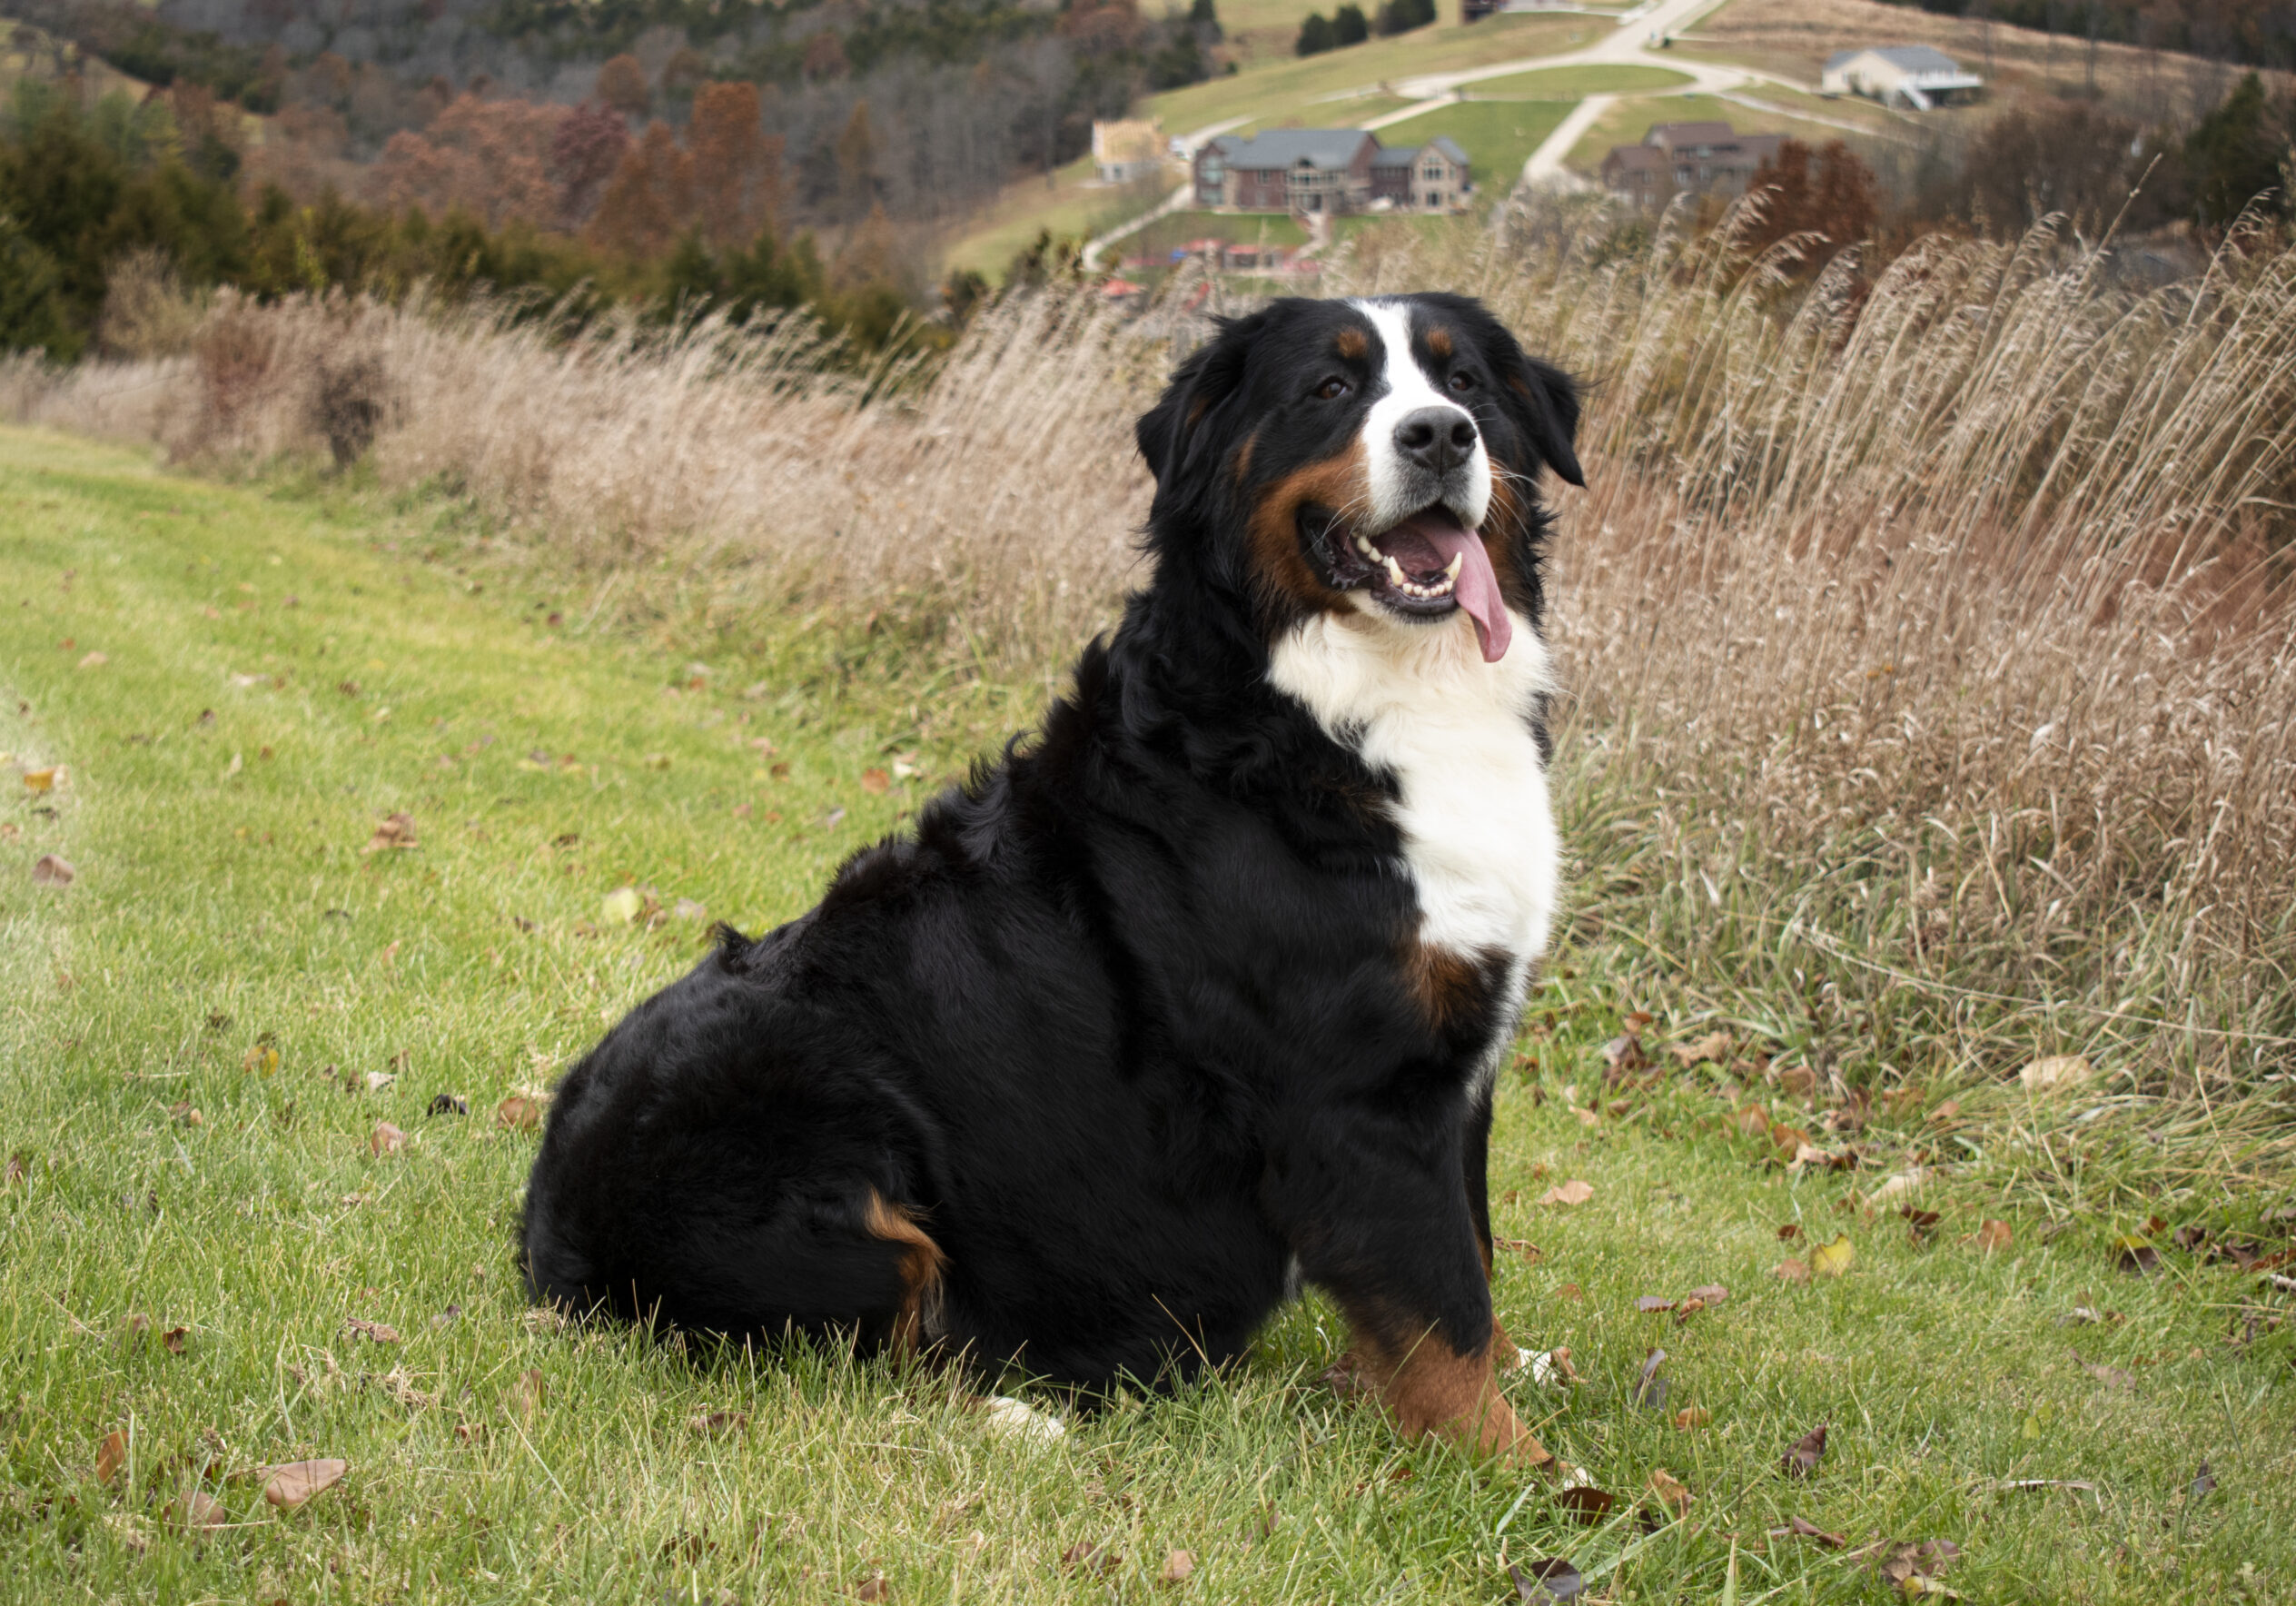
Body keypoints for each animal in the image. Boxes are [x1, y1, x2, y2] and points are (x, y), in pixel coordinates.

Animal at [525, 292, 1579, 1470]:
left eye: (1465, 381)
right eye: (1330, 387)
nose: (1440, 434)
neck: (1341, 706)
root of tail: (545, 1242)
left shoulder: (1454, 1070)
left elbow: (1468, 1257)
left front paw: (1505, 1386)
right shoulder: (1359, 1094)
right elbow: (1442, 1313)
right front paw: (1533, 1474)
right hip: (829, 1143)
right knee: (883, 1349)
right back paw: (1023, 1410)